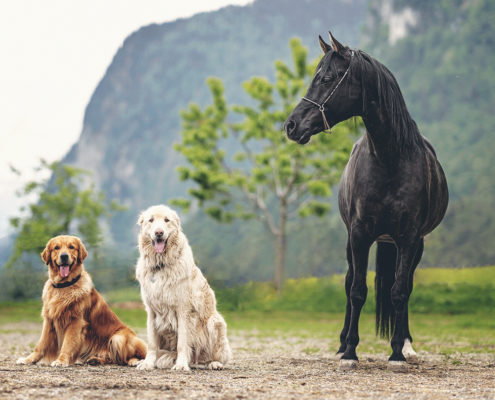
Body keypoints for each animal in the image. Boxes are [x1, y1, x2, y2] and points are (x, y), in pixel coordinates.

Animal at [135, 206, 233, 372]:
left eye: (167, 220)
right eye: (151, 220)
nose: (159, 233)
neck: (161, 265)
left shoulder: (183, 310)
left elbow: (182, 342)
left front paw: (181, 365)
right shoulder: (151, 311)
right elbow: (152, 343)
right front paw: (148, 363)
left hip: (214, 322)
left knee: (212, 356)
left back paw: (213, 363)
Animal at [282, 32, 450, 370]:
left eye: (327, 78)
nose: (291, 125)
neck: (389, 158)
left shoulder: (409, 237)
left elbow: (399, 291)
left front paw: (397, 353)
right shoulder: (359, 234)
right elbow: (357, 290)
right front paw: (349, 351)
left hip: (413, 245)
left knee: (405, 286)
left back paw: (407, 345)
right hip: (352, 241)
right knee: (350, 283)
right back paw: (342, 342)